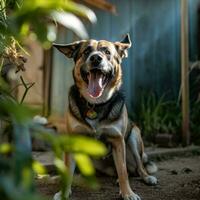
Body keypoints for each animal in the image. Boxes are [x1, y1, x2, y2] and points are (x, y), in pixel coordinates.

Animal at [52, 34, 157, 200]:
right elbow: (68, 170)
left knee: (137, 167)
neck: (95, 104)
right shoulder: (74, 139)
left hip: (134, 137)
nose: (95, 58)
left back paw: (146, 177)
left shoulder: (118, 141)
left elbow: (123, 171)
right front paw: (63, 192)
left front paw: (128, 193)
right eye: (86, 51)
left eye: (107, 52)